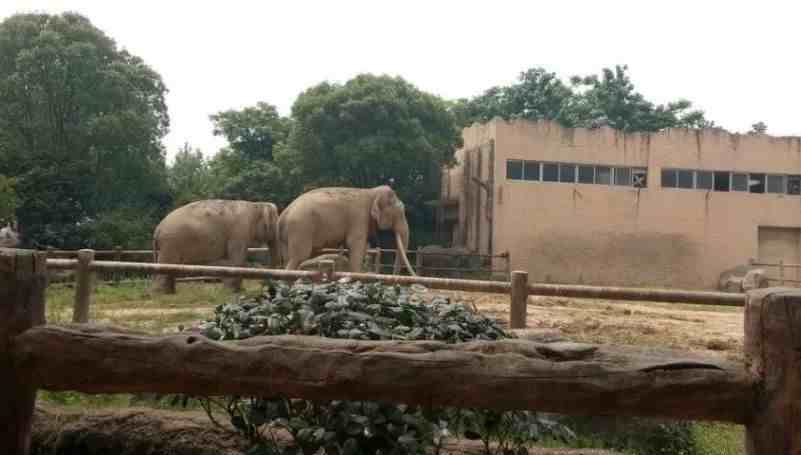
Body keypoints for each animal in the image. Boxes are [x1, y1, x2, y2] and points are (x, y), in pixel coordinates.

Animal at [278, 184, 416, 276]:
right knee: (299, 257)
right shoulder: (359, 217)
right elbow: (356, 246)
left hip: (288, 236)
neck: (371, 192)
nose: (394, 276)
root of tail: (282, 216)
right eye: (400, 212)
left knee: (288, 259)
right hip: (300, 228)